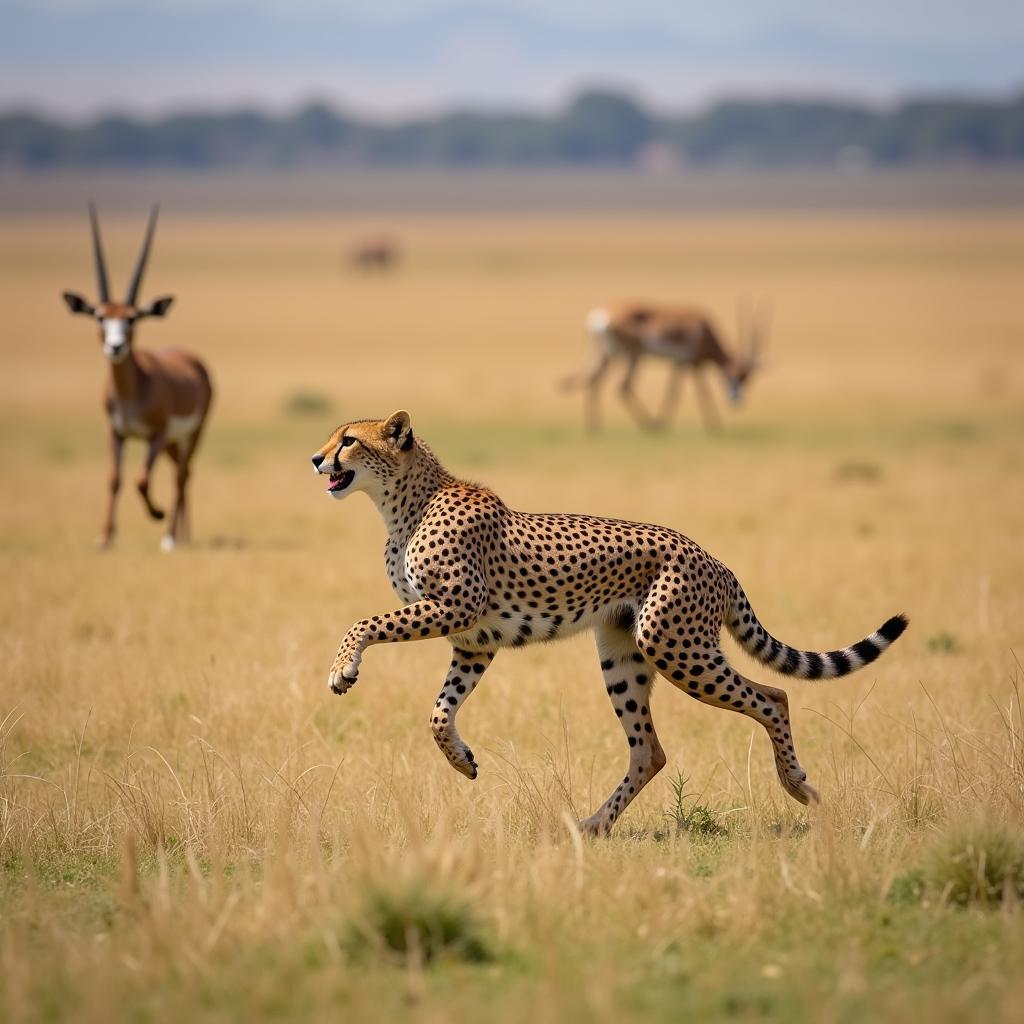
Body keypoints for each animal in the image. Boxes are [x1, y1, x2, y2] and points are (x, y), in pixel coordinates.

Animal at [61, 202, 214, 548]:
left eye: (132, 318)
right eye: (99, 316)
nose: (115, 346)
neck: (132, 390)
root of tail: (191, 357)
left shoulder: (156, 434)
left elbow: (141, 479)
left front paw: (157, 515)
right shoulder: (116, 432)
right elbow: (114, 478)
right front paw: (105, 537)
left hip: (191, 434)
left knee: (181, 474)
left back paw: (171, 536)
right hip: (173, 442)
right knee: (181, 473)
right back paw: (182, 533)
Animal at [307, 411, 909, 835]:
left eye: (349, 440)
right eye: (332, 438)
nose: (315, 459)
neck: (404, 504)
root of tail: (712, 557)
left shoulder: (459, 607)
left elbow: (364, 622)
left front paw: (342, 670)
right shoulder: (474, 639)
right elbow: (439, 712)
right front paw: (462, 761)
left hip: (674, 645)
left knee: (772, 697)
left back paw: (797, 786)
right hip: (624, 655)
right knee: (650, 750)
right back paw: (595, 824)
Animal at [561, 299, 770, 436]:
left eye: (747, 379)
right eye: (734, 376)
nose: (737, 401)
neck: (703, 330)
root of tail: (599, 317)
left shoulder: (681, 364)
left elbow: (674, 391)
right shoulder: (689, 363)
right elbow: (696, 393)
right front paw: (714, 427)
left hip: (609, 355)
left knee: (594, 380)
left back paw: (595, 427)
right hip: (634, 356)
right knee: (624, 386)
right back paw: (650, 426)